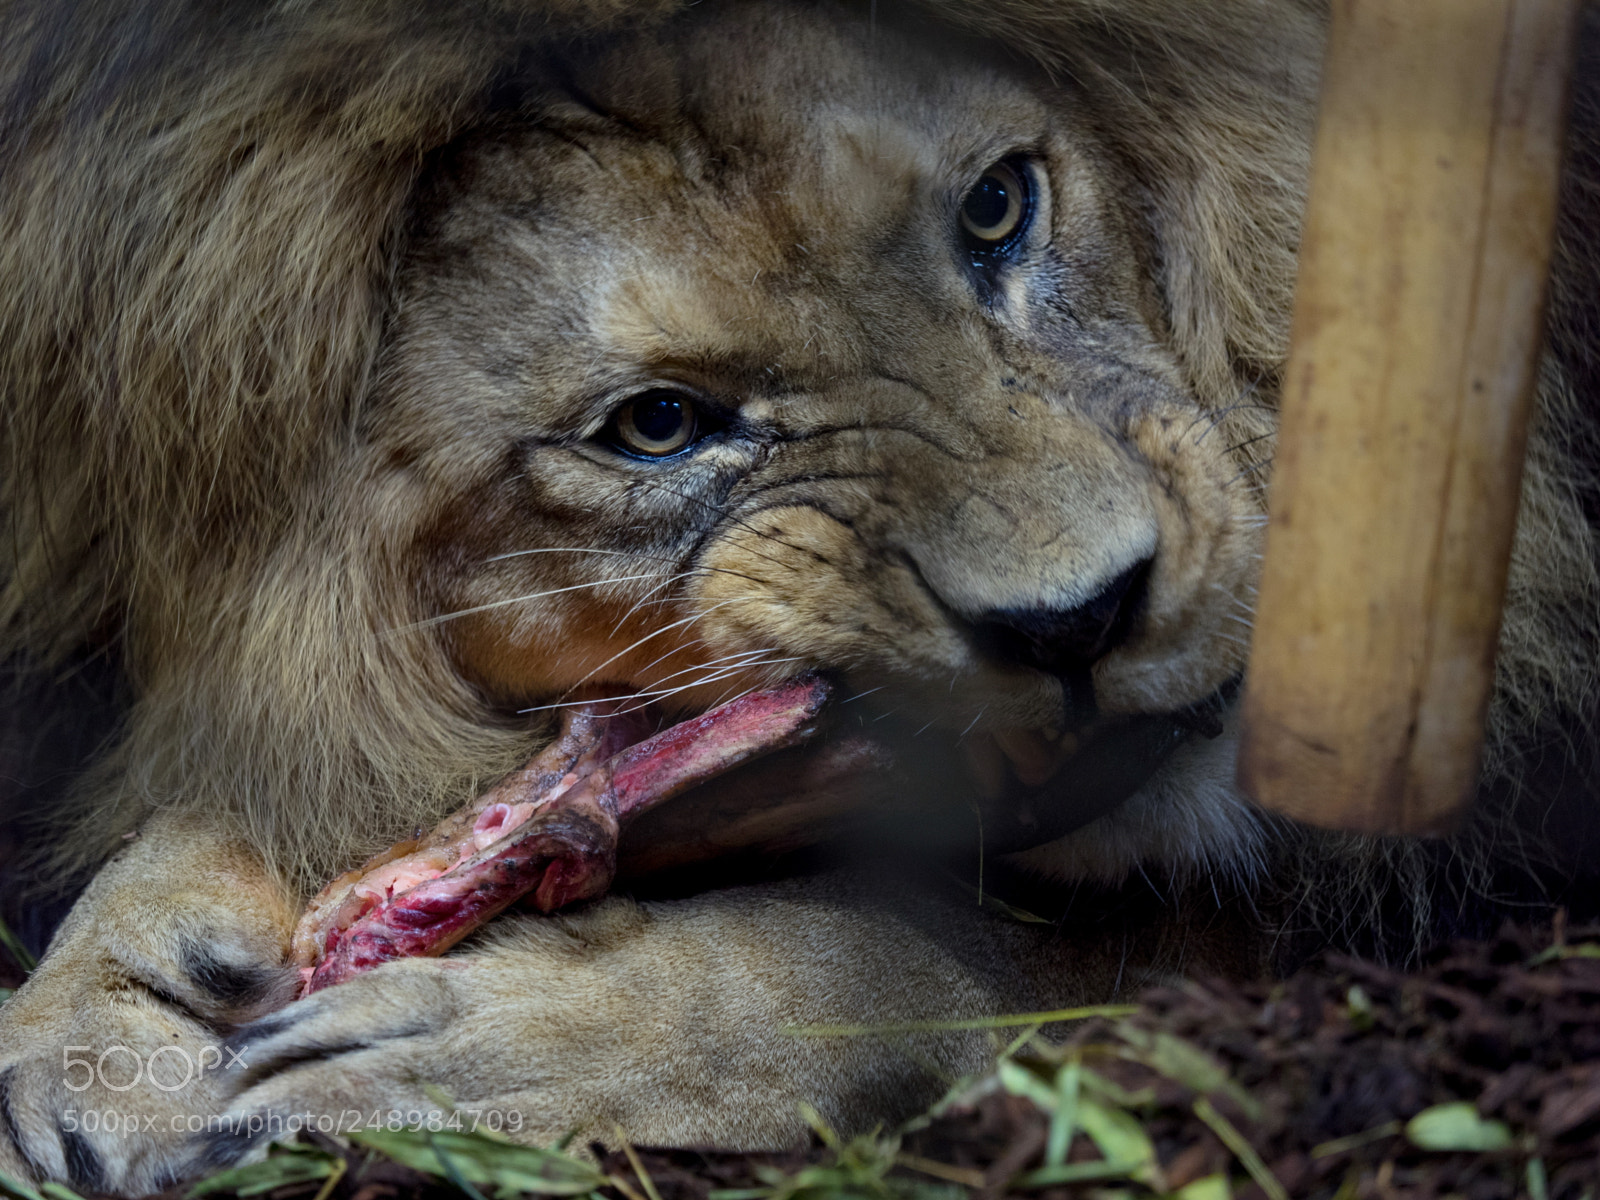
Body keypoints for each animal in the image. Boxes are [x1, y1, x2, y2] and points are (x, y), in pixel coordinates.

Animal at [2, 0, 1597, 1191]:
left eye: (998, 209)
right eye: (657, 427)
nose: (1082, 618)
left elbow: (898, 952)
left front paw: (513, 1035)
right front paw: (114, 987)